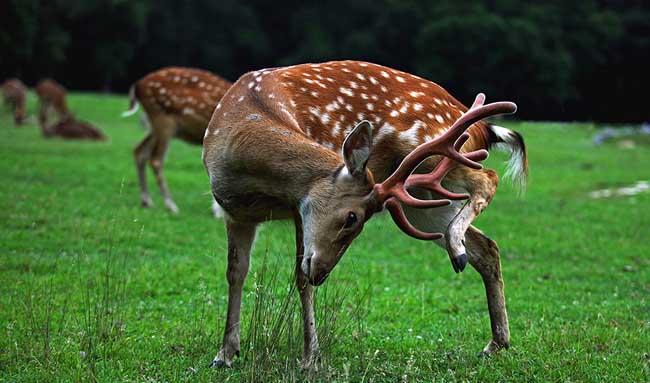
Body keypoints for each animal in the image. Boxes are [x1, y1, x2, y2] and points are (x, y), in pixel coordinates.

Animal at [123, 67, 232, 214]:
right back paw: (171, 205)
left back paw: (147, 201)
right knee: (155, 159)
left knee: (139, 151)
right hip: (163, 119)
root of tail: (138, 85)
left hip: (155, 126)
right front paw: (218, 211)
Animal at [202, 61, 528, 370]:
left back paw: (458, 249)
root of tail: (483, 128)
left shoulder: (299, 211)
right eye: (352, 218)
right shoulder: (235, 214)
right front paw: (225, 354)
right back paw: (495, 340)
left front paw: (310, 358)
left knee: (488, 177)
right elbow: (236, 272)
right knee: (487, 246)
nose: (322, 273)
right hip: (420, 200)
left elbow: (300, 279)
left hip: (437, 155)